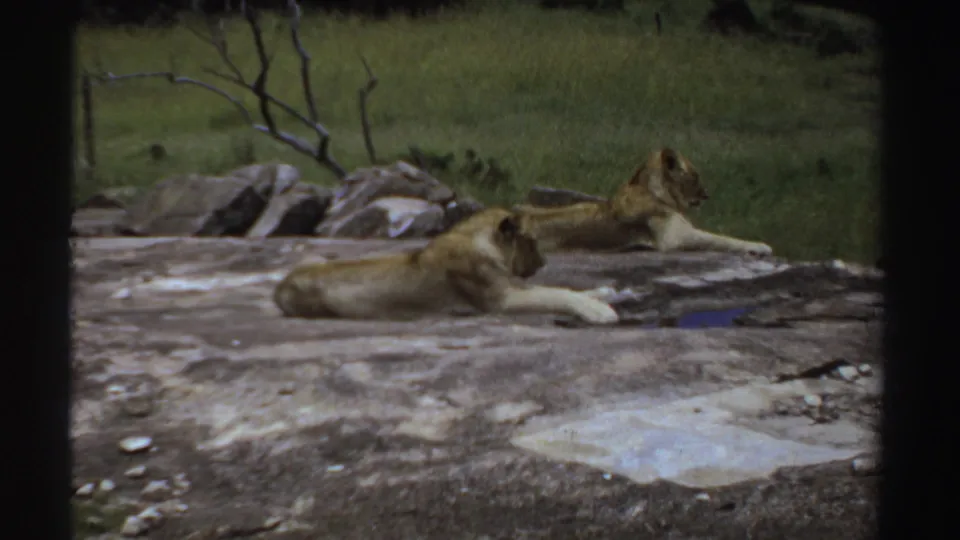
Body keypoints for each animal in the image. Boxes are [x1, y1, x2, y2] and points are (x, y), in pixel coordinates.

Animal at [272, 207, 619, 324]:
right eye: (532, 242)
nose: (544, 261)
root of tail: (279, 287)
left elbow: (561, 286)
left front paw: (604, 292)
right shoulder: (499, 300)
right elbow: (556, 292)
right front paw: (599, 311)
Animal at [513, 148, 773, 256]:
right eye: (695, 176)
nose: (707, 194)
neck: (656, 194)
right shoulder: (674, 238)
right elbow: (721, 239)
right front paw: (760, 247)